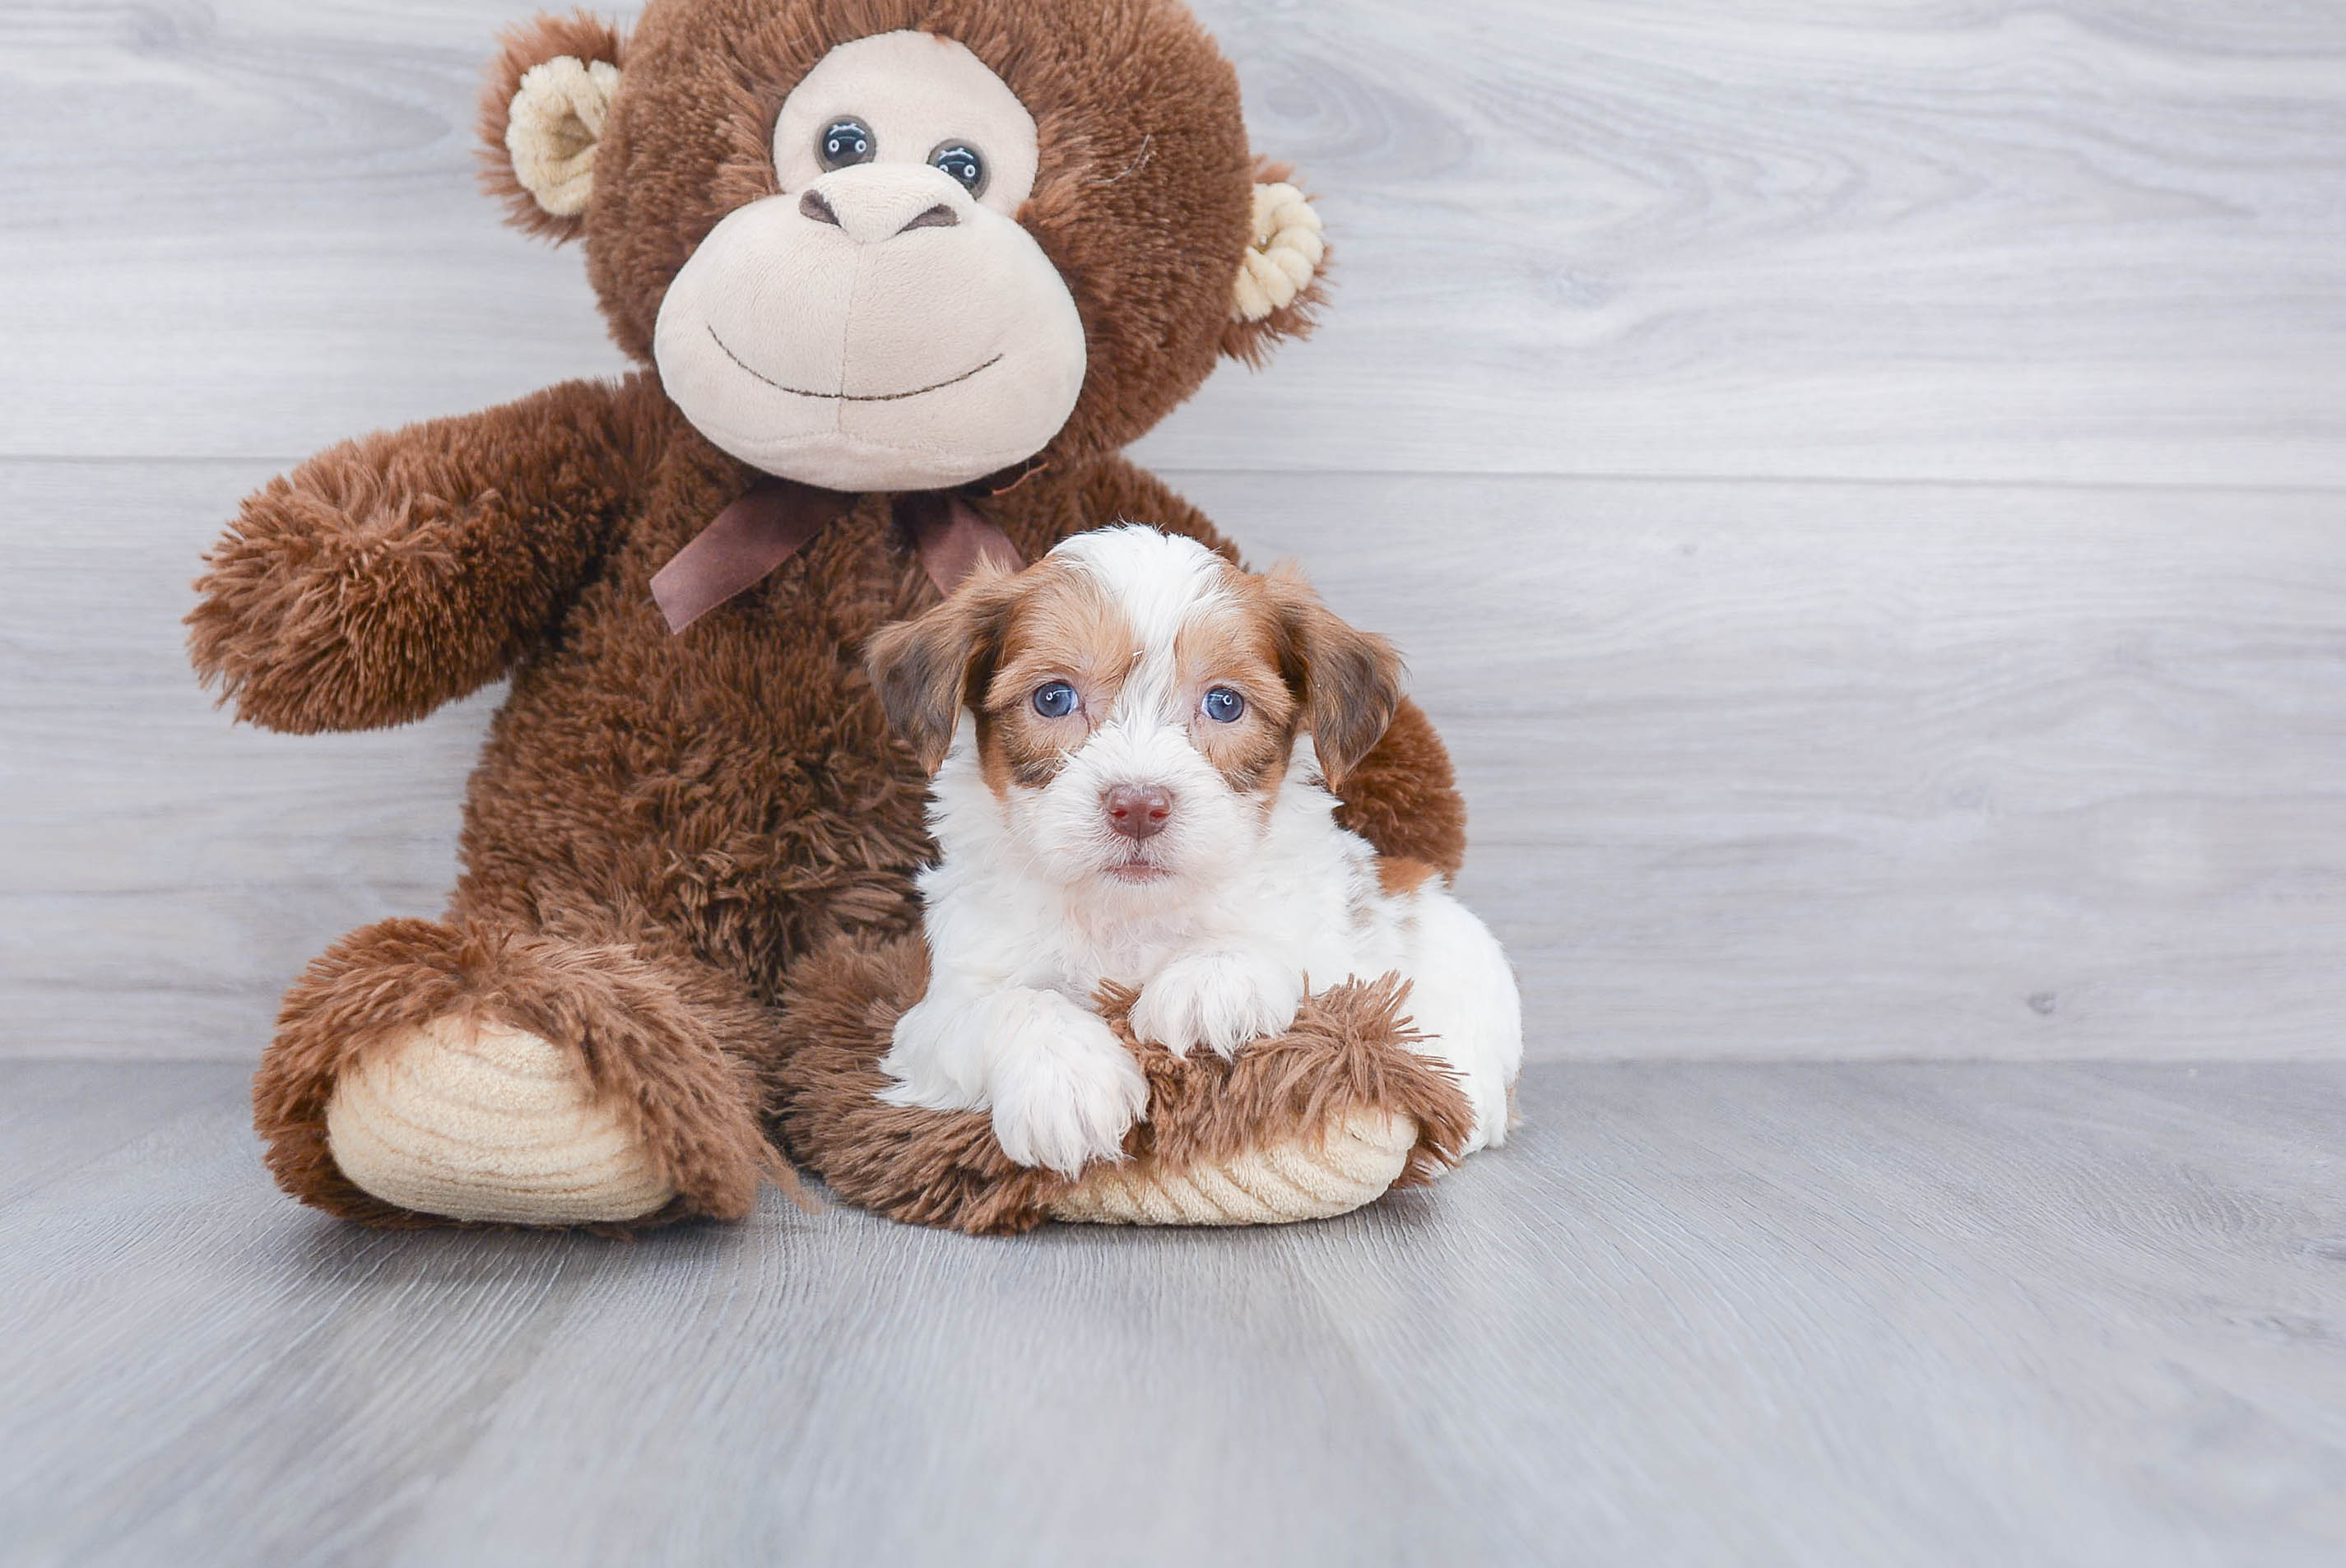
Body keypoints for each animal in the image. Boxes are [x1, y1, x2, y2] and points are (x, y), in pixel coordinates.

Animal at [863, 525, 1520, 1171]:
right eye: (1053, 698)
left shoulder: (1340, 959)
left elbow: (1295, 958)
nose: (1138, 806)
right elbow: (1009, 1004)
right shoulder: (937, 1008)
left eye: (1224, 703)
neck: (1131, 915)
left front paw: (1212, 983)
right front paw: (1067, 1080)